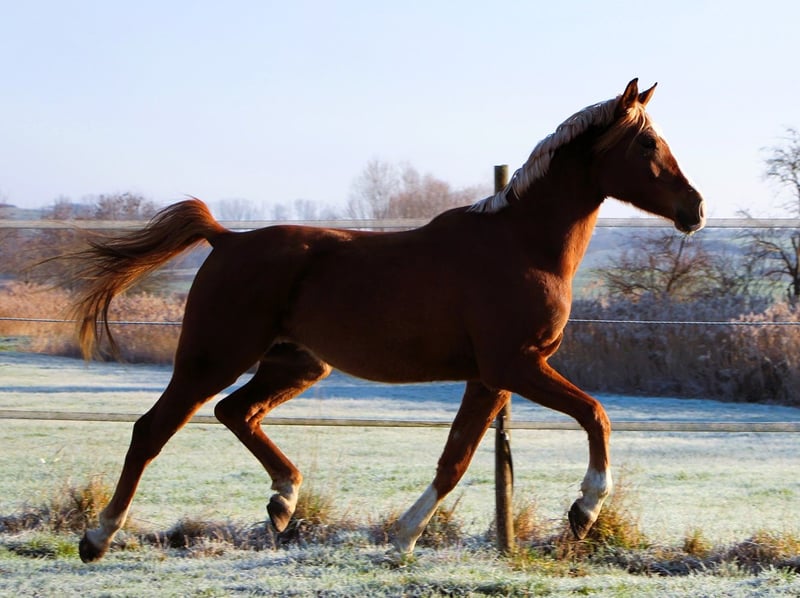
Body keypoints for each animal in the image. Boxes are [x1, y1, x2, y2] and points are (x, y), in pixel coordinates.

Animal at [69, 78, 704, 562]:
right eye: (647, 143)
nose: (694, 208)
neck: (523, 245)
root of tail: (227, 239)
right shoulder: (516, 366)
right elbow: (595, 414)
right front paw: (583, 511)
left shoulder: (490, 378)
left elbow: (454, 459)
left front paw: (402, 538)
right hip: (214, 356)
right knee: (152, 430)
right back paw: (97, 538)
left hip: (297, 364)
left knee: (237, 412)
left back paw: (283, 503)